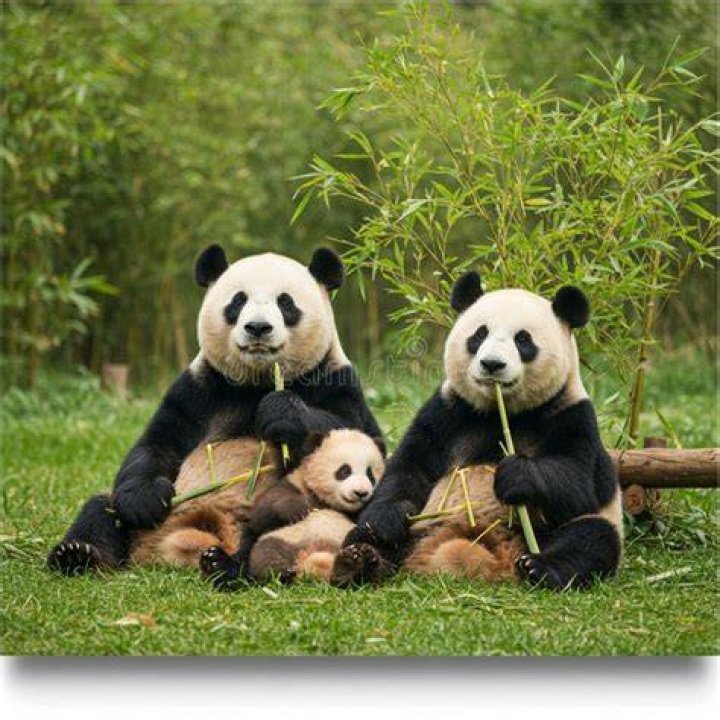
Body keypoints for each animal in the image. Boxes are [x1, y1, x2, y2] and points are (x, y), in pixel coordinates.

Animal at [47, 245, 382, 575]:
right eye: (238, 301)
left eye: (286, 303)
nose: (257, 327)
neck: (257, 382)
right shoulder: (199, 389)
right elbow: (157, 444)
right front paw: (144, 501)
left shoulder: (335, 379)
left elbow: (357, 434)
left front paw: (281, 412)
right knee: (101, 509)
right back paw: (76, 555)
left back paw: (226, 565)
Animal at [198, 428, 386, 589]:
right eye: (344, 471)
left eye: (370, 474)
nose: (361, 493)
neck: (326, 502)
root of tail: (310, 563)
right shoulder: (294, 483)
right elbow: (262, 513)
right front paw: (297, 510)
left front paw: (364, 531)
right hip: (285, 541)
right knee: (265, 553)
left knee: (375, 564)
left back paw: (352, 565)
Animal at [342, 271, 622, 591]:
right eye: (479, 335)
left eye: (523, 339)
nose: (492, 364)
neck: (502, 411)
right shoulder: (448, 411)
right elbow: (408, 468)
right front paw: (384, 522)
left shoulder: (572, 414)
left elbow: (577, 481)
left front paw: (516, 474)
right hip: (423, 527)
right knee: (367, 536)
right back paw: (360, 559)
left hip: (563, 529)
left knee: (590, 538)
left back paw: (539, 568)